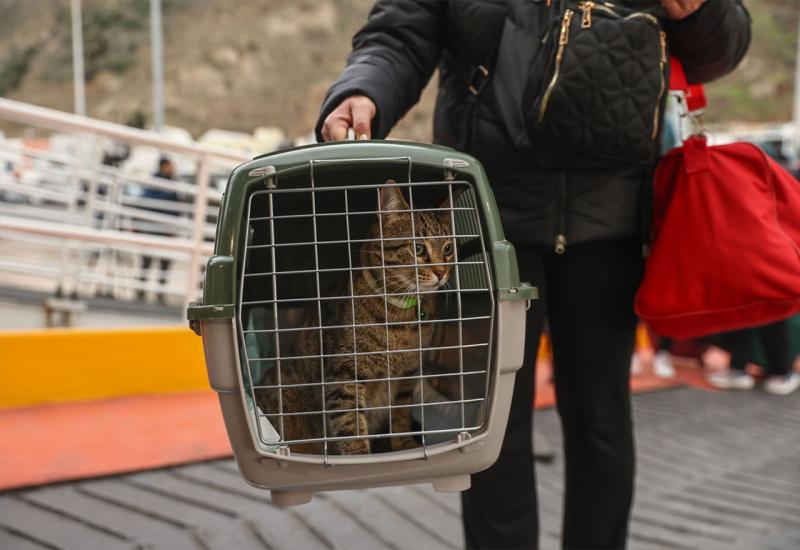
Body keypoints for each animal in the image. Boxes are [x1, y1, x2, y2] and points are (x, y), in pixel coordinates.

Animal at [256, 185, 456, 458]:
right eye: (418, 248)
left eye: (447, 248)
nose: (441, 272)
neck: (402, 313)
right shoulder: (344, 376)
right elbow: (351, 425)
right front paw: (361, 456)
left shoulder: (407, 376)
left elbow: (401, 417)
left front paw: (403, 446)